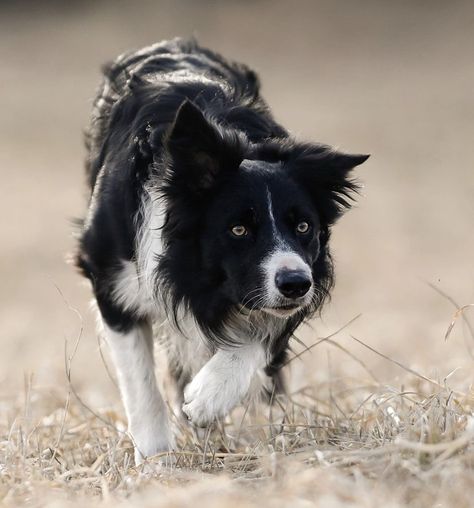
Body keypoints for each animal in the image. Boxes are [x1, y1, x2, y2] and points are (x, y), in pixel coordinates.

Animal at [76, 38, 368, 464]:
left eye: (303, 226)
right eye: (238, 229)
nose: (296, 284)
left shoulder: (300, 278)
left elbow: (259, 336)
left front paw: (207, 398)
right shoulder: (111, 277)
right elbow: (140, 381)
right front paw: (156, 460)